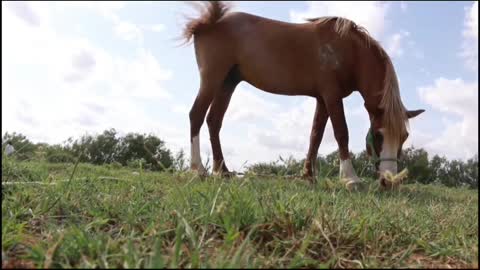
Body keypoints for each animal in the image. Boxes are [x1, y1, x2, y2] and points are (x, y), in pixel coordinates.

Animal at [181, 1, 424, 189]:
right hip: (212, 79)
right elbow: (341, 132)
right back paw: (198, 169)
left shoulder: (322, 99)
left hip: (227, 83)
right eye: (378, 135)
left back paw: (222, 171)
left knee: (214, 121)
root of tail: (208, 23)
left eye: (404, 137)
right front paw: (350, 178)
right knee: (196, 115)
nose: (390, 181)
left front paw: (308, 175)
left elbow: (315, 136)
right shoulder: (331, 95)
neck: (349, 51)